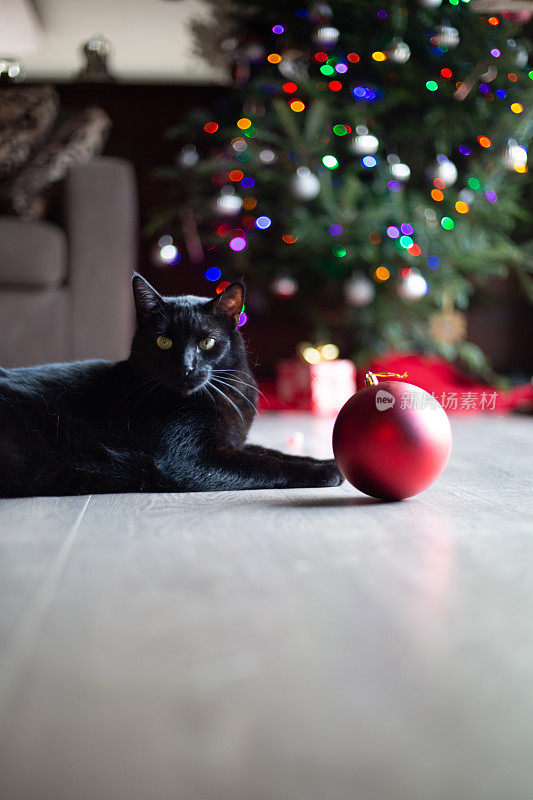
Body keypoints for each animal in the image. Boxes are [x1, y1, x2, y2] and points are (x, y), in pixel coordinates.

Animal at [0, 278, 340, 496]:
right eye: (163, 342)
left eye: (207, 342)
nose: (185, 367)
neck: (223, 394)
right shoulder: (190, 461)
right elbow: (265, 464)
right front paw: (325, 473)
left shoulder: (229, 442)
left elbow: (271, 452)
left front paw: (324, 460)